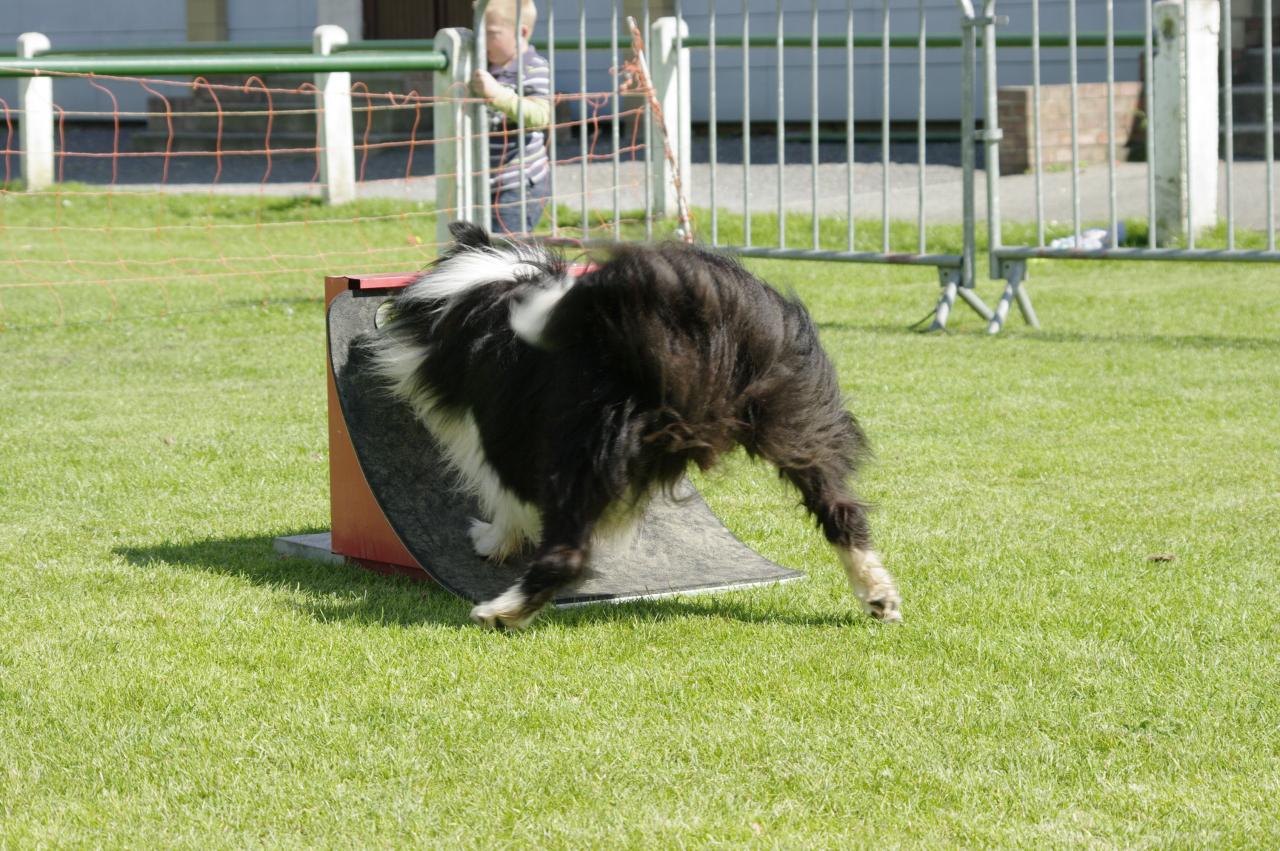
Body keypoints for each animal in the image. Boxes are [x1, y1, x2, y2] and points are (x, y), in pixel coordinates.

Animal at [373, 222, 901, 627]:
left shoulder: (500, 430)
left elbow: (503, 492)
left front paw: (493, 539)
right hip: (795, 416)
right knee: (841, 508)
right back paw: (878, 595)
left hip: (580, 450)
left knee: (567, 552)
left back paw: (503, 612)